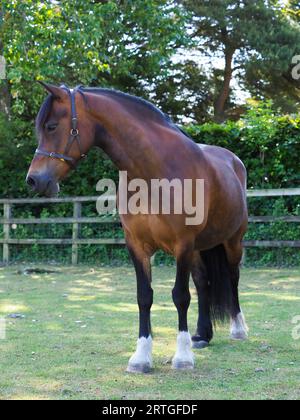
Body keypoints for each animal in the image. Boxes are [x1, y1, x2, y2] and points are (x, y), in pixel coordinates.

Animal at [27, 83, 248, 372]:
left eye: (52, 126)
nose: (33, 180)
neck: (153, 172)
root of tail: (234, 161)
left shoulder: (182, 244)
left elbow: (180, 296)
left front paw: (182, 357)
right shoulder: (137, 245)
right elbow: (144, 296)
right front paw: (141, 357)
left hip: (232, 241)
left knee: (232, 277)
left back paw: (238, 328)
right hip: (200, 248)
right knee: (203, 282)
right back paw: (202, 335)